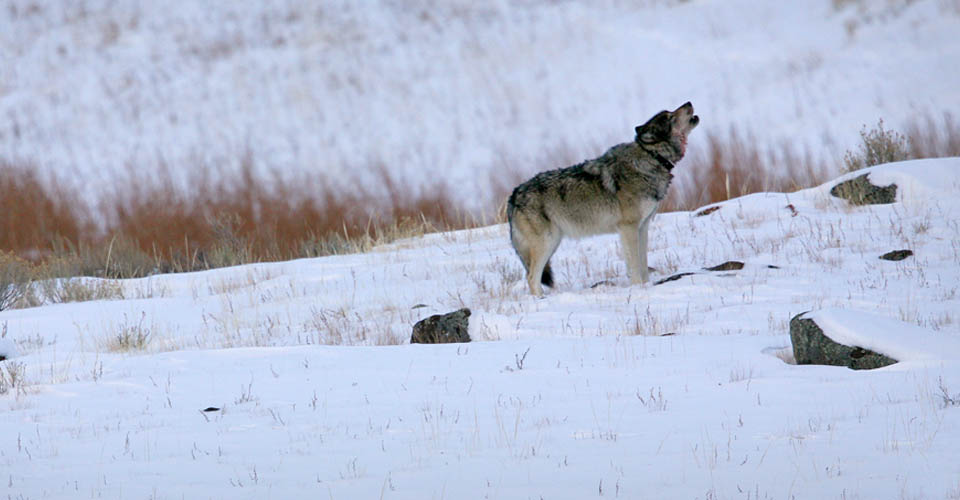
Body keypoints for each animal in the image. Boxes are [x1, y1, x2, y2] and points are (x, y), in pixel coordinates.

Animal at [507, 102, 699, 296]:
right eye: (669, 116)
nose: (689, 103)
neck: (651, 157)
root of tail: (514, 194)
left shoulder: (642, 227)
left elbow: (643, 263)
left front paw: (647, 286)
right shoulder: (628, 227)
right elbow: (634, 265)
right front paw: (638, 288)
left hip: (553, 242)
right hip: (547, 243)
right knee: (532, 277)